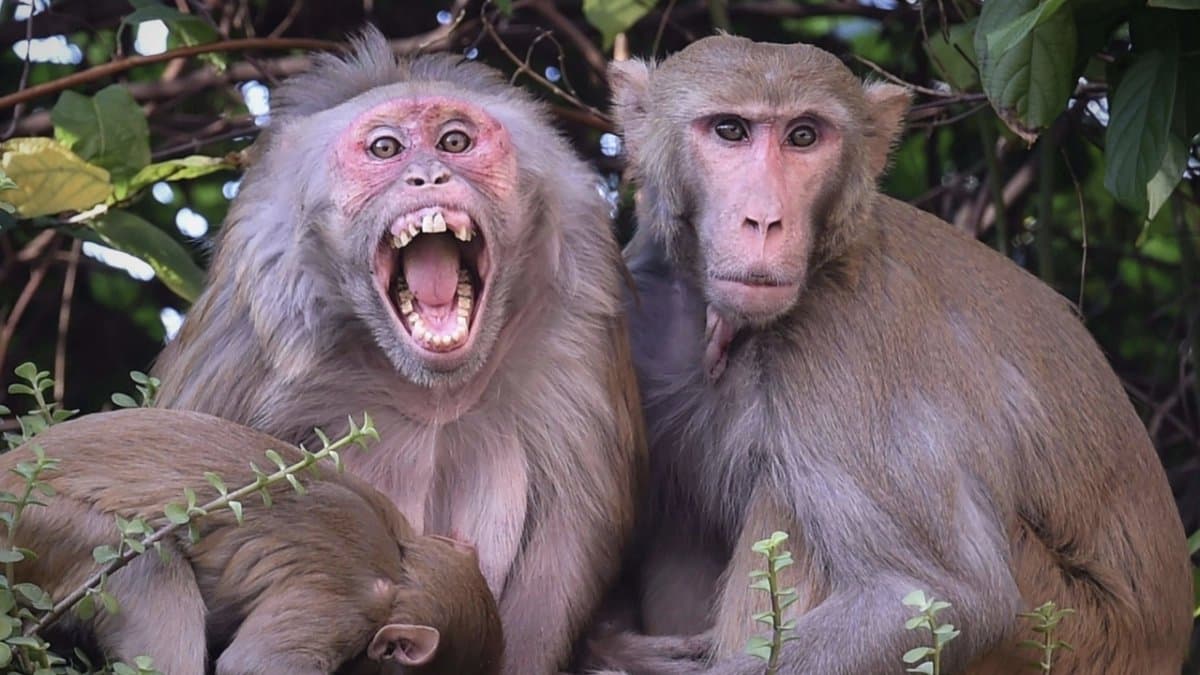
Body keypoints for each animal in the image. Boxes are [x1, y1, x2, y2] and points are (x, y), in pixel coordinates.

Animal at [150, 27, 645, 675]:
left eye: (455, 141)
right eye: (386, 148)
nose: (428, 176)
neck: (431, 389)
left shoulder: (578, 317)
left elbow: (569, 532)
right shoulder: (256, 330)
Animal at [587, 36, 1192, 674]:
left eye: (804, 136)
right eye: (730, 130)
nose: (765, 220)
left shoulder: (840, 335)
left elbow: (934, 592)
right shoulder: (634, 304)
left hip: (1065, 632)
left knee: (789, 507)